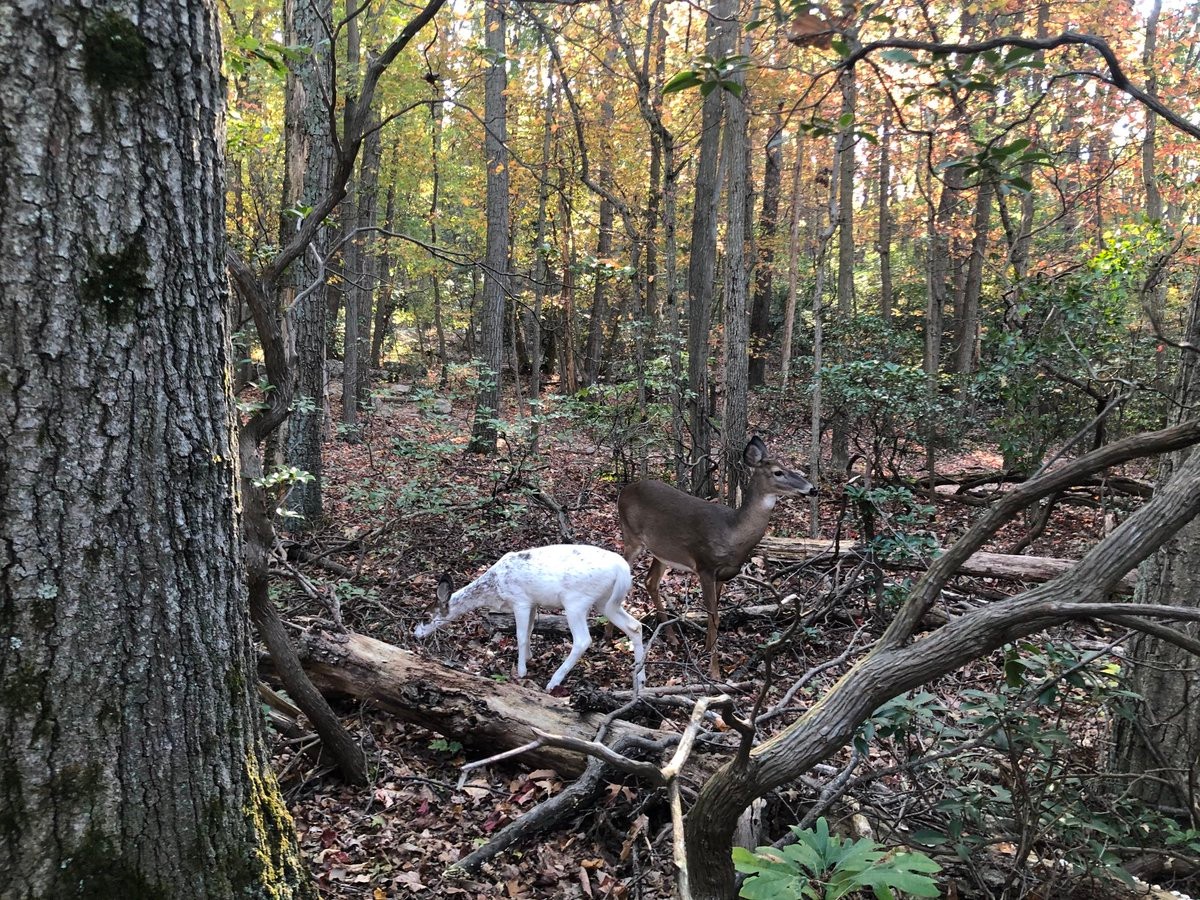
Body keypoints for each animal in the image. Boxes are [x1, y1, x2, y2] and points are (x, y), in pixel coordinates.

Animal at [412, 542, 643, 696]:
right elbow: (531, 630)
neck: (495, 587)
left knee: (583, 640)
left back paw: (553, 682)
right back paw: (640, 681)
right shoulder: (533, 602)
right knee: (635, 626)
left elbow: (521, 635)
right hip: (606, 602)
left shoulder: (520, 600)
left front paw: (521, 671)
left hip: (576, 601)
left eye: (426, 617)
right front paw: (530, 657)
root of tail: (623, 569)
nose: (415, 634)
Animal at [619, 441, 816, 681]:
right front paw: (715, 672)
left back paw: (672, 639)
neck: (733, 532)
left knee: (651, 581)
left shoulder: (723, 574)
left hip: (662, 551)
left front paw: (706, 648)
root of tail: (624, 491)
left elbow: (714, 615)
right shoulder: (705, 566)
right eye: (778, 472)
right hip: (631, 537)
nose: (812, 489)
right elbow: (714, 618)